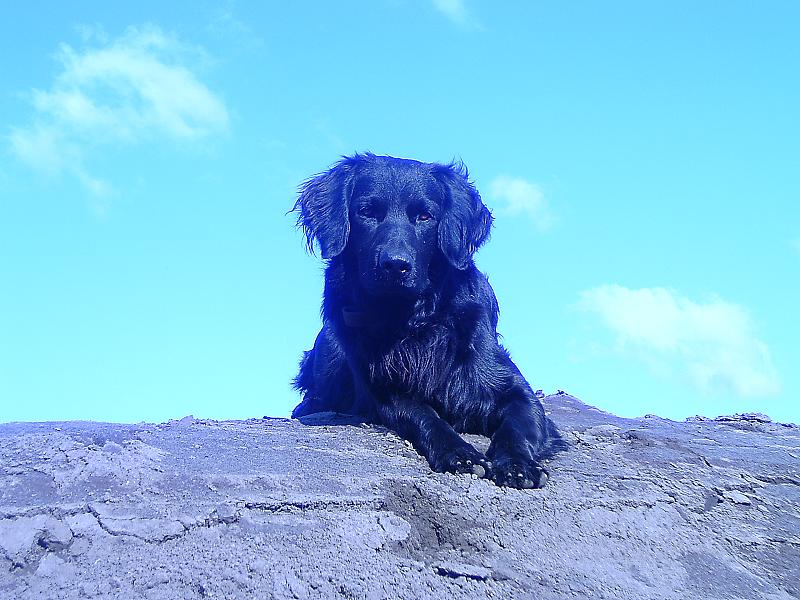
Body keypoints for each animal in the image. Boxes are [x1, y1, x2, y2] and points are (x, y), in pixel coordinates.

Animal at [291, 153, 565, 488]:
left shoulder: (514, 390)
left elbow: (518, 425)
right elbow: (424, 416)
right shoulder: (385, 391)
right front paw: (460, 453)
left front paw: (517, 464)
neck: (415, 320)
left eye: (424, 216)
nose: (395, 265)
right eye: (367, 212)